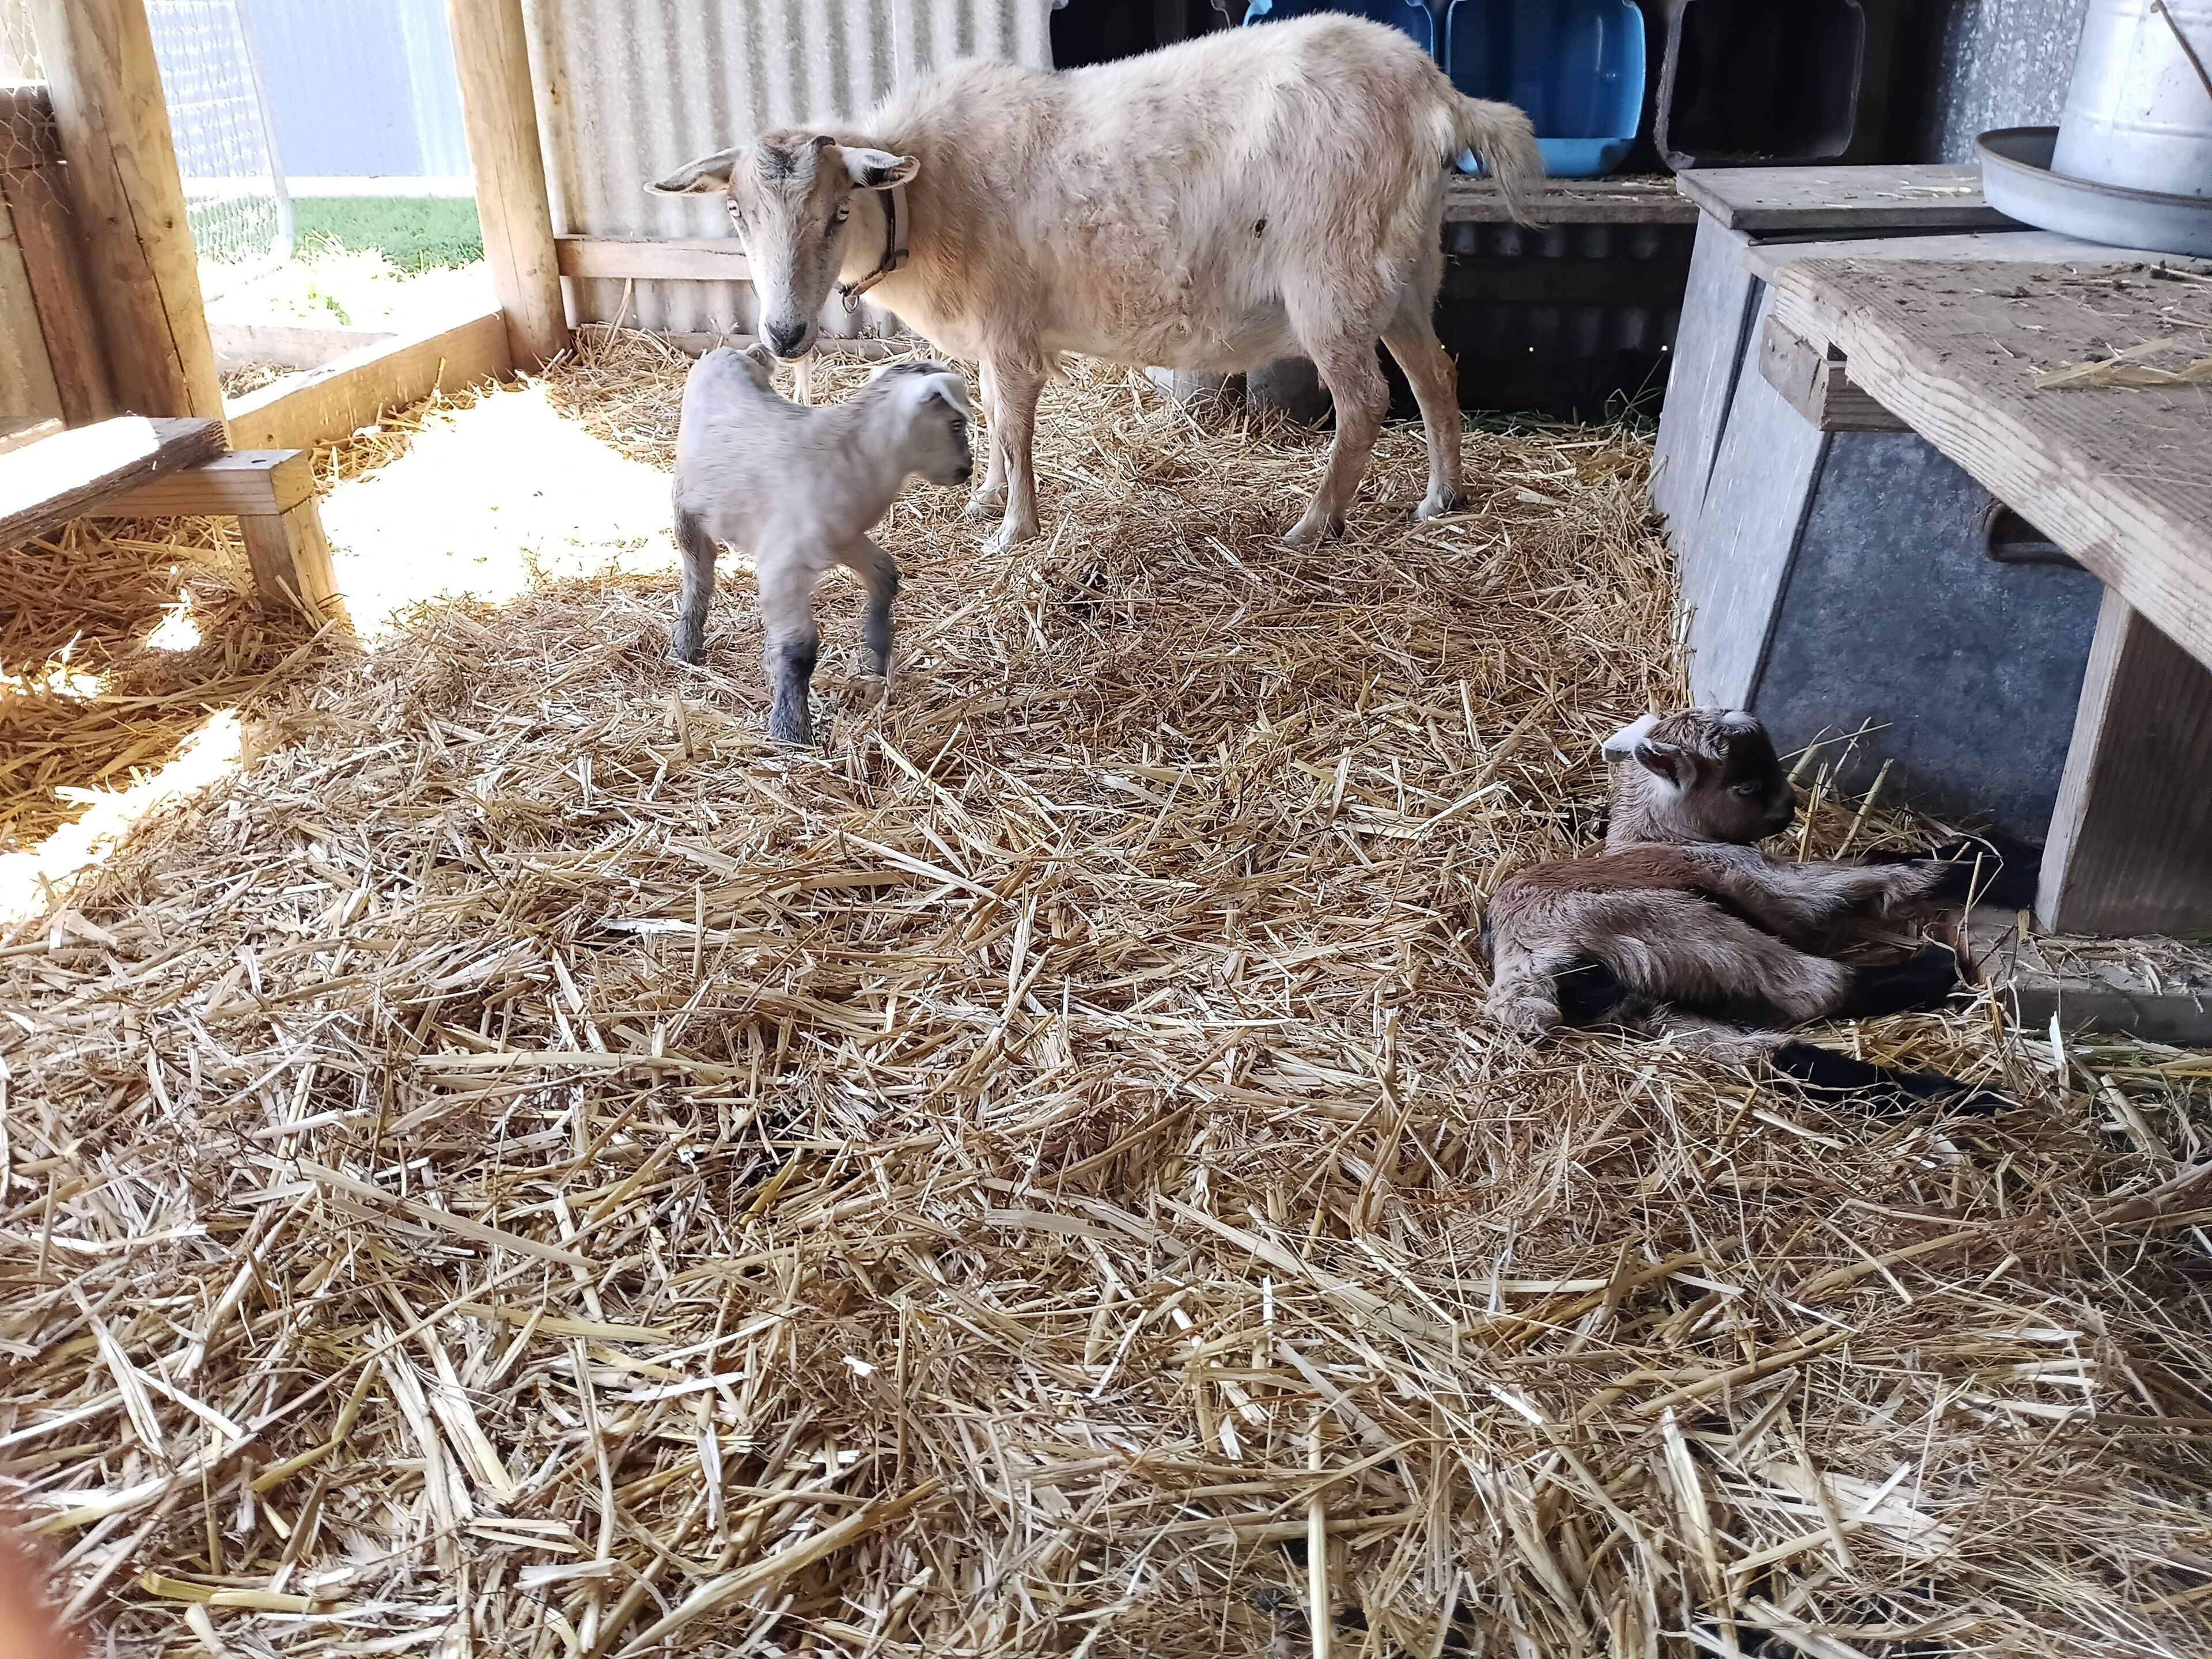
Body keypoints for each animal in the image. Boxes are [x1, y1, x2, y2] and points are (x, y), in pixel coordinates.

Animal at [647, 16, 1542, 556]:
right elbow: (988, 410)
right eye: (736, 212)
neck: (925, 196)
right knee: (1436, 378)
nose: (784, 335)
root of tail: (1438, 95)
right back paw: (1442, 497)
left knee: (1365, 402)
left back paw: (1314, 523)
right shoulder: (990, 333)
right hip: (1401, 271)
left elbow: (1013, 423)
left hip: (1333, 272)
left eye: (838, 211)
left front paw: (1012, 531)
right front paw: (986, 501)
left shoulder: (1008, 323)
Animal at [671, 345, 973, 745]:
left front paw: (878, 650)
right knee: (699, 574)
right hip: (686, 504)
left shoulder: (844, 539)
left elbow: (885, 574)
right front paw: (791, 728)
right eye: (955, 424)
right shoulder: (784, 563)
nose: (967, 469)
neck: (851, 454)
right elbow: (799, 648)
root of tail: (733, 351)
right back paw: (686, 645)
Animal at [1483, 709, 2039, 1108]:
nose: (1789, 810)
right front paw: (2014, 863)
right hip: (1687, 931)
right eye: (1746, 785)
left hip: (1658, 995)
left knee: (1768, 1054)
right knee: (1814, 989)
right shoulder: (1760, 877)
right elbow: (1884, 874)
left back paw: (1964, 1097)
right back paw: (1941, 979)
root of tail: (1527, 969)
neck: (1658, 837)